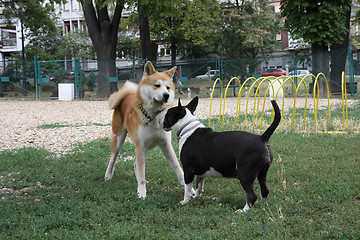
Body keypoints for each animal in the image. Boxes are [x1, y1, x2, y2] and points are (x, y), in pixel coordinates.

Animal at [103, 61, 183, 199]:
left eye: (168, 87)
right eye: (157, 85)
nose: (166, 95)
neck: (153, 116)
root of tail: (126, 97)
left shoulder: (166, 145)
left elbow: (178, 168)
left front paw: (190, 189)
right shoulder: (140, 145)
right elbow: (141, 173)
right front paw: (141, 193)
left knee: (135, 162)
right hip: (119, 140)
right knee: (113, 158)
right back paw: (108, 175)